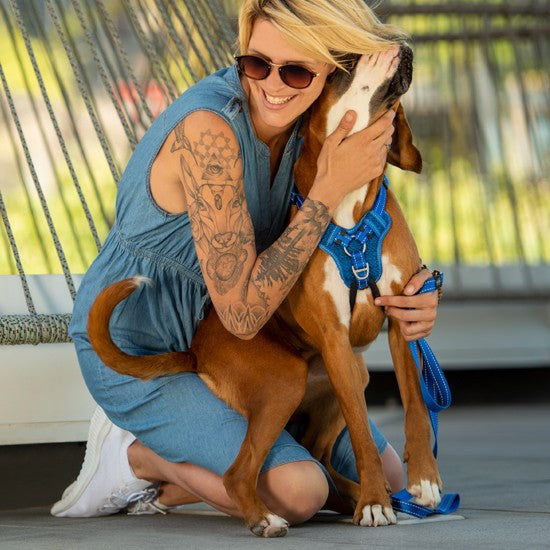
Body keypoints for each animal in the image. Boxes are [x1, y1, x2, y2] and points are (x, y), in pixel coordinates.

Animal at [87, 43, 444, 540]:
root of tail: (196, 350)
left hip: (350, 374)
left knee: (318, 457)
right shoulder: (335, 337)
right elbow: (361, 434)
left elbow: (415, 406)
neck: (352, 213)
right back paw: (270, 516)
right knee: (242, 473)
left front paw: (424, 480)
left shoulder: (401, 317)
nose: (403, 43)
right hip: (287, 380)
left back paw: (356, 494)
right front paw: (374, 503)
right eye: (347, 61)